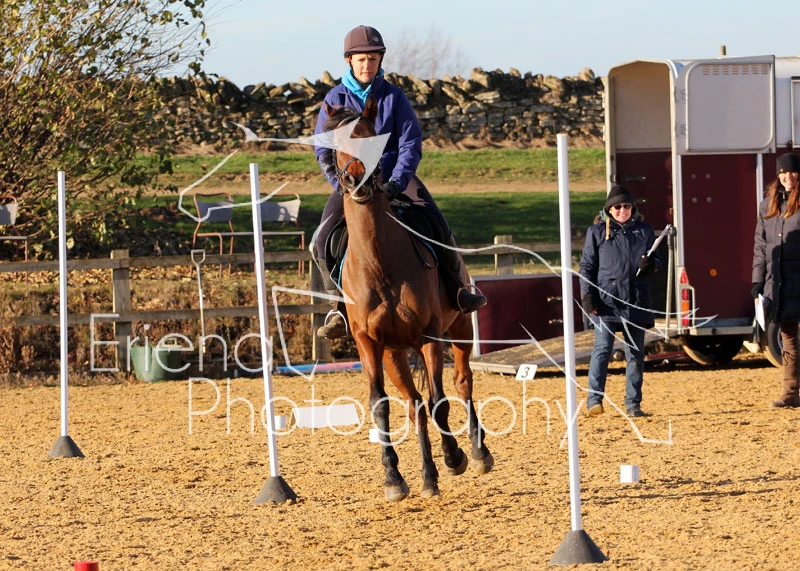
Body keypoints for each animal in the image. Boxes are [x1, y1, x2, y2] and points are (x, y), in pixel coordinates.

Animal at [322, 98, 493, 501]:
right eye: (335, 143)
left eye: (372, 136)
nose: (356, 181)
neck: (380, 261)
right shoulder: (368, 343)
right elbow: (380, 405)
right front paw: (394, 479)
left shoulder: (430, 336)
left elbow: (440, 402)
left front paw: (454, 458)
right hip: (394, 353)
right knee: (414, 404)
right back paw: (428, 475)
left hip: (459, 328)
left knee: (461, 383)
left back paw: (475, 452)